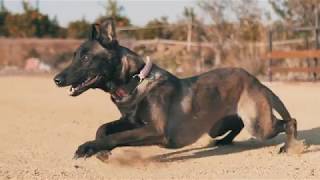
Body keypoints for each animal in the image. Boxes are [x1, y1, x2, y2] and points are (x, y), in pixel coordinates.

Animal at [53, 18, 304, 159]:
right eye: (75, 56)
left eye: (86, 58)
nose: (56, 79)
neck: (135, 80)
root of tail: (255, 80)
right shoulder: (131, 121)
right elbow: (104, 128)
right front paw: (99, 149)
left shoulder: (154, 130)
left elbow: (114, 136)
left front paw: (89, 147)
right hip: (219, 125)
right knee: (236, 126)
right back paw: (223, 142)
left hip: (259, 126)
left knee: (290, 122)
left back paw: (288, 146)